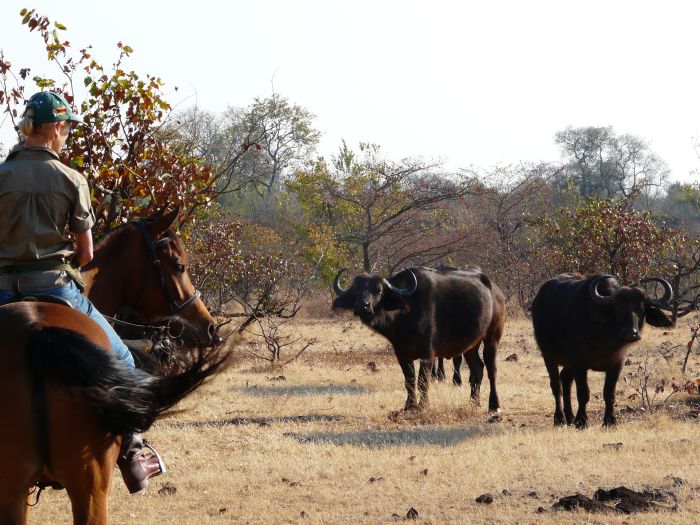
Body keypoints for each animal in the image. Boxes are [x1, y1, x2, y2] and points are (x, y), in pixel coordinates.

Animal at [332, 266, 504, 410]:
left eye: (378, 290)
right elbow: (409, 380)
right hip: (471, 345)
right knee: (478, 369)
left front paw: (423, 405)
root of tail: (496, 291)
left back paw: (494, 405)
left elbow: (422, 381)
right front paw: (409, 405)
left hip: (492, 338)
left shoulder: (428, 354)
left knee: (491, 370)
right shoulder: (402, 354)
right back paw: (474, 402)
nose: (363, 305)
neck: (406, 313)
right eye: (356, 290)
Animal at [532, 272, 676, 428]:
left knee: (565, 380)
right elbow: (583, 393)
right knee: (556, 386)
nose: (630, 333)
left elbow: (609, 393)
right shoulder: (579, 364)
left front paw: (610, 420)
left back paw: (570, 417)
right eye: (618, 308)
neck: (605, 338)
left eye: (641, 310)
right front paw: (581, 421)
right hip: (548, 356)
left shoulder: (617, 364)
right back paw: (559, 419)